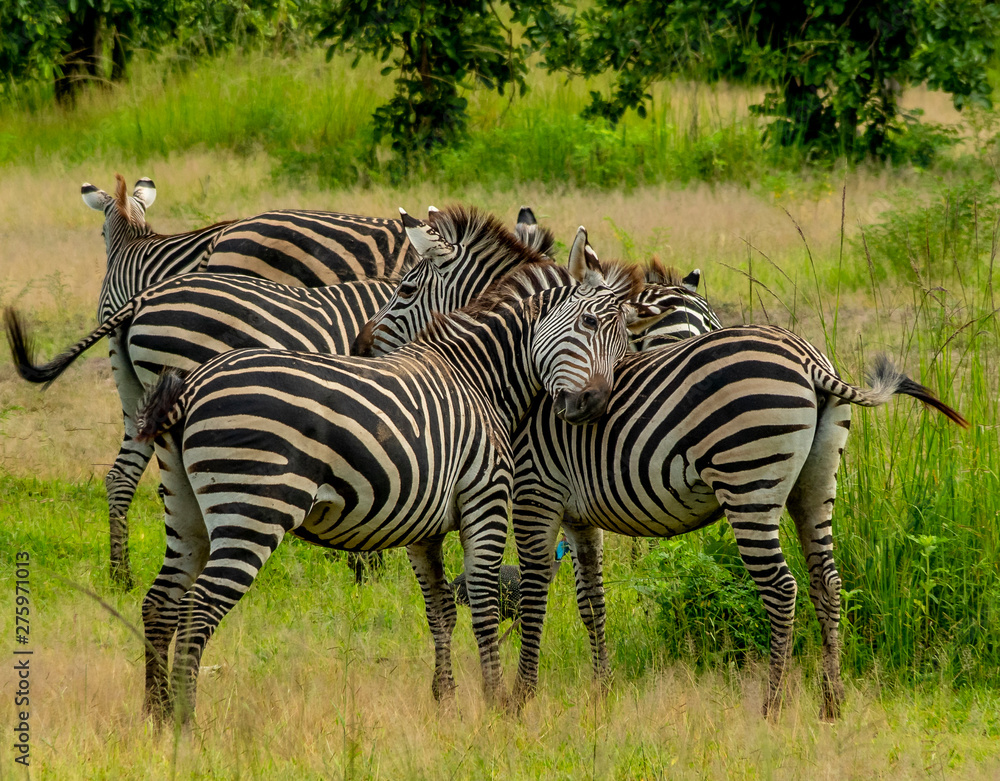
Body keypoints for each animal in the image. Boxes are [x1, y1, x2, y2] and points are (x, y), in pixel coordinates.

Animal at [9, 205, 553, 585]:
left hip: (135, 395)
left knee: (121, 478)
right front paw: (369, 569)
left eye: (406, 289)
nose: (359, 347)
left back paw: (120, 575)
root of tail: (143, 297)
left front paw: (367, 567)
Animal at [129, 242, 668, 723]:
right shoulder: (486, 498)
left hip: (186, 508)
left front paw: (445, 701)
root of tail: (192, 386)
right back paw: (186, 723)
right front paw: (494, 703)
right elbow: (484, 601)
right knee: (196, 610)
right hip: (253, 509)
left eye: (625, 344)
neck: (478, 377)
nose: (593, 405)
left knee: (160, 602)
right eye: (589, 324)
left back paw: (157, 717)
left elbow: (441, 607)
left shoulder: (423, 522)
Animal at [508, 325, 969, 720]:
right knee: (827, 582)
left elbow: (532, 598)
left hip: (748, 480)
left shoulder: (536, 492)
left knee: (782, 588)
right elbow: (592, 603)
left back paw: (772, 706)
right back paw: (832, 703)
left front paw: (519, 698)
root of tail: (808, 360)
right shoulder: (578, 516)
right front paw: (601, 693)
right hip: (817, 482)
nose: (574, 409)